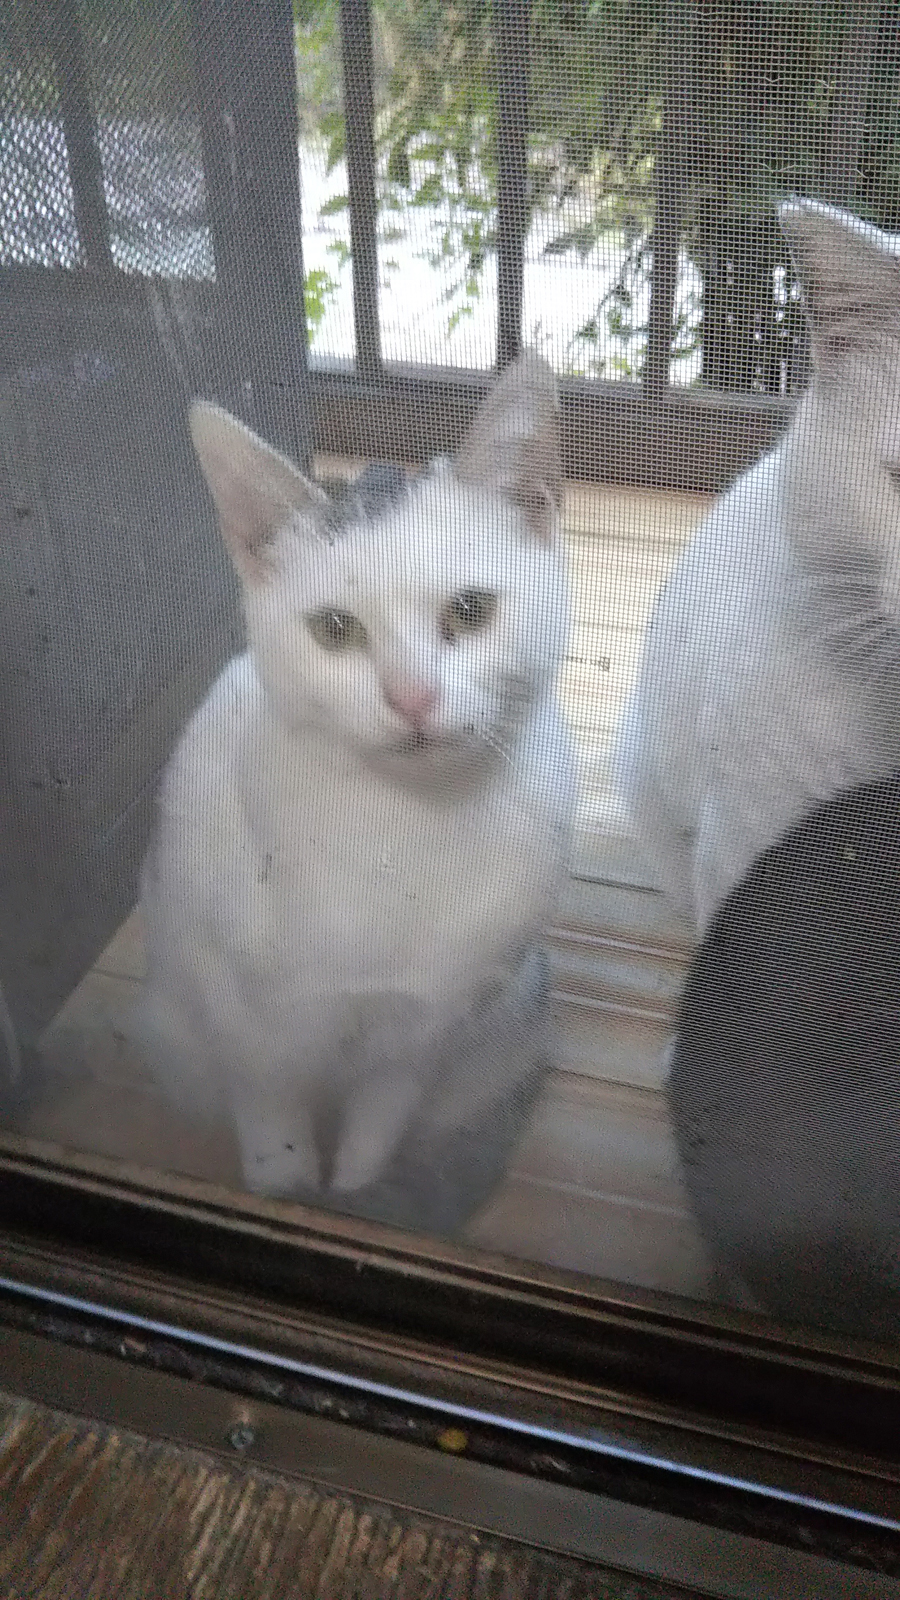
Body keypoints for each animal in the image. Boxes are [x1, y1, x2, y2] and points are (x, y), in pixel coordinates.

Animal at [135, 353, 575, 1234]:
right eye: (334, 629)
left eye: (471, 610)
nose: (412, 698)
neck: (402, 833)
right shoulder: (246, 1026)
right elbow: (273, 1128)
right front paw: (283, 1194)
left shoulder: (423, 1036)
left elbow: (376, 1133)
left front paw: (353, 1199)